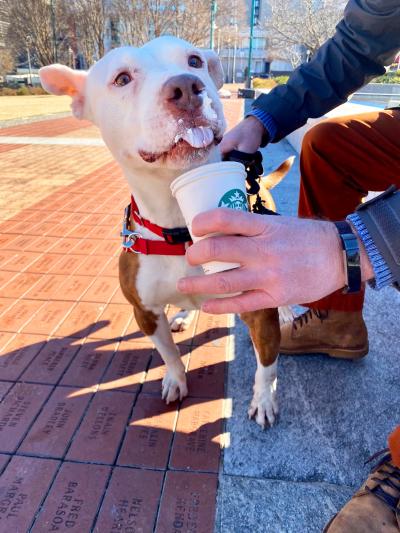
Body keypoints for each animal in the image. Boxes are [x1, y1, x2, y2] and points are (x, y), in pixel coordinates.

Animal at [39, 36, 292, 428]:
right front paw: (175, 379)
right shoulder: (144, 311)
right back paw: (185, 315)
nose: (186, 87)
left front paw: (264, 401)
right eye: (122, 78)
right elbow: (168, 354)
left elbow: (267, 368)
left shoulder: (258, 309)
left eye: (195, 60)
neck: (180, 227)